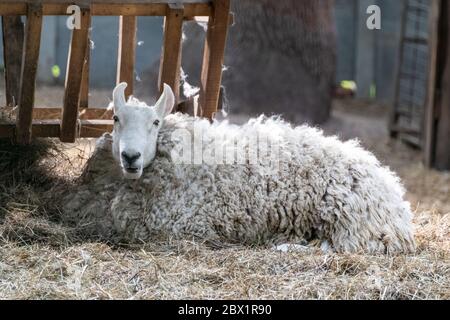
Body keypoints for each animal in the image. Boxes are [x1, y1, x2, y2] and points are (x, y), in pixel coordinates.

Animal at [62, 84, 414, 254]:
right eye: (116, 119)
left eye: (156, 122)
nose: (131, 156)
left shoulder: (181, 223)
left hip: (351, 221)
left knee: (343, 247)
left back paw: (286, 246)